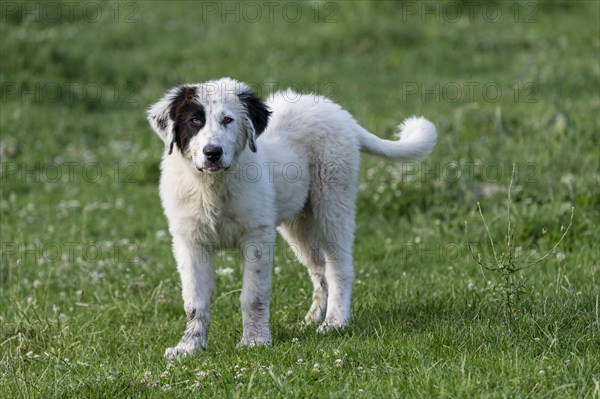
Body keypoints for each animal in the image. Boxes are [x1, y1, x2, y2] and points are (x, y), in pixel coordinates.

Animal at [146, 76, 436, 358]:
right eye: (194, 121)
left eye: (228, 120)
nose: (212, 152)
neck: (212, 187)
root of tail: (340, 113)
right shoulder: (190, 242)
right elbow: (194, 301)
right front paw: (189, 347)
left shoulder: (257, 235)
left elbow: (253, 295)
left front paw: (254, 342)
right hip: (297, 221)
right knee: (319, 269)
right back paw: (310, 320)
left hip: (332, 201)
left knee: (339, 266)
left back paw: (335, 322)